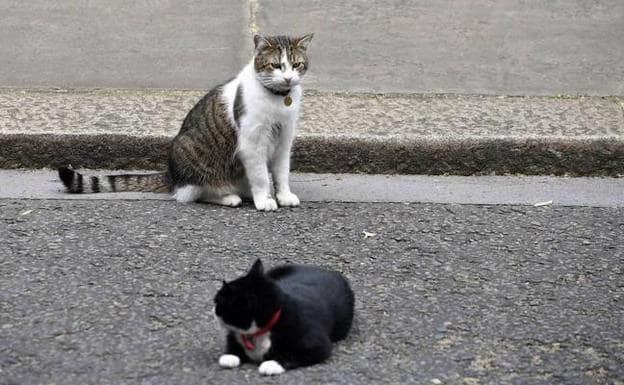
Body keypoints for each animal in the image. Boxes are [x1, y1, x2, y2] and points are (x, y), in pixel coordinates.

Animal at [58, 33, 312, 212]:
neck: (278, 100)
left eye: (296, 64)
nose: (288, 78)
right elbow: (260, 176)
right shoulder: (252, 143)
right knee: (195, 193)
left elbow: (281, 173)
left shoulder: (284, 140)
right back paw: (229, 197)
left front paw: (283, 196)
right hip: (193, 154)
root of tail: (172, 175)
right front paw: (264, 199)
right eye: (276, 65)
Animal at [212, 258, 354, 376]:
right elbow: (232, 342)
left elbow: (292, 355)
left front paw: (272, 364)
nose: (212, 310)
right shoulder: (234, 334)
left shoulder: (318, 346)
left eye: (218, 302)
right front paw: (230, 356)